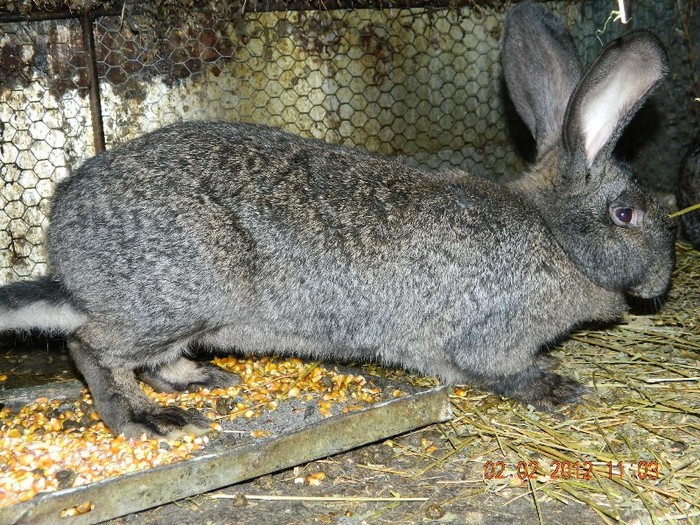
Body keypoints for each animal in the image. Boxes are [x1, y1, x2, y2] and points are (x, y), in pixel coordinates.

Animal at [0, 1, 676, 438]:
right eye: (627, 213)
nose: (663, 283)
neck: (555, 235)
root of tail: (67, 252)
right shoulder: (490, 333)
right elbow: (494, 370)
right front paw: (555, 387)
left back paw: (198, 378)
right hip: (187, 289)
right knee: (92, 347)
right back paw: (145, 418)